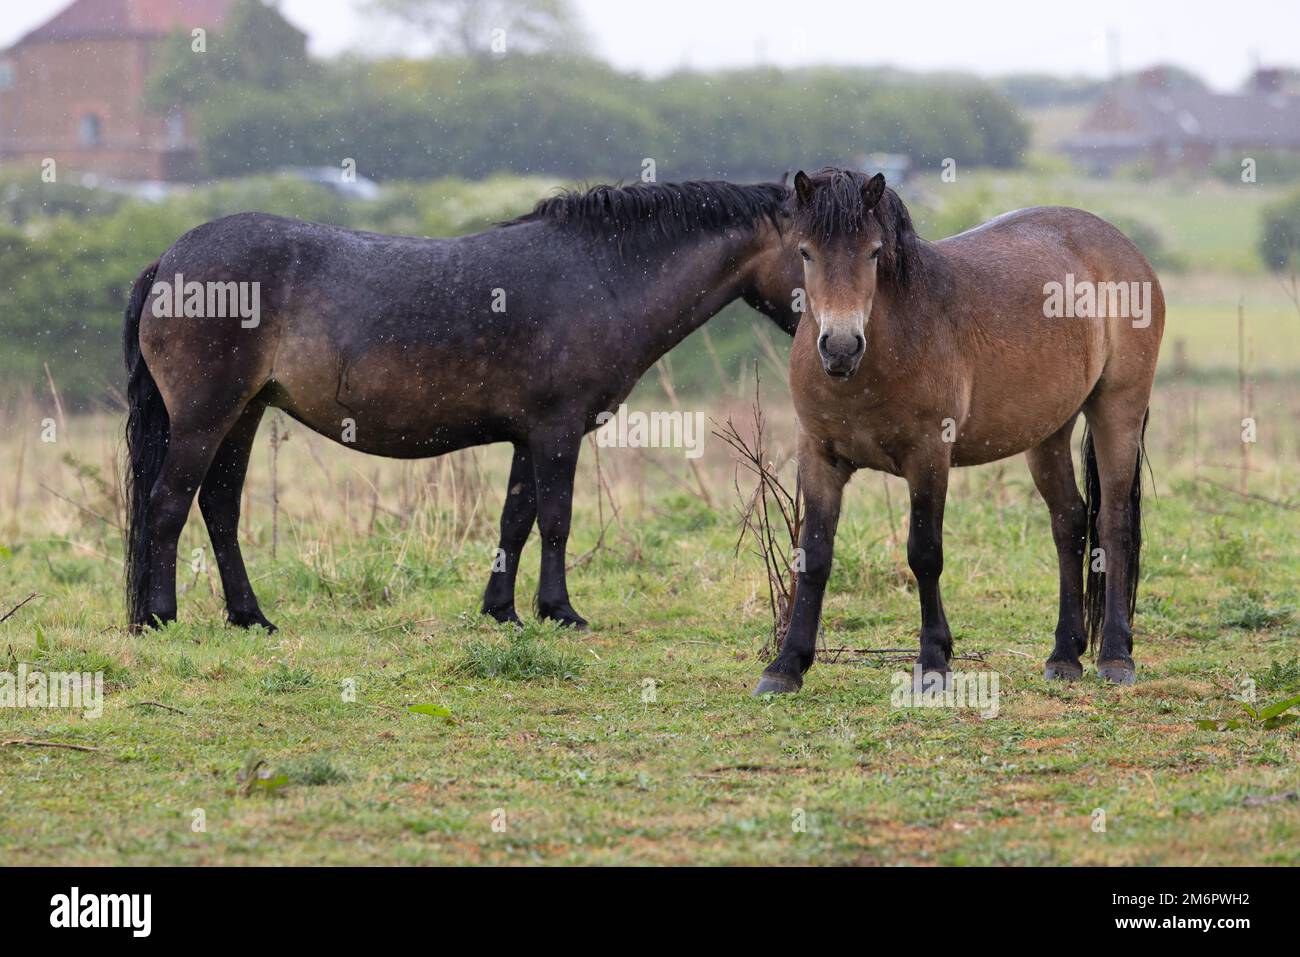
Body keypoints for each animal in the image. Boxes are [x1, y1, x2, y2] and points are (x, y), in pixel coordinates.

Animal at [123, 180, 803, 633]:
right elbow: (556, 520)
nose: (829, 344)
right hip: (204, 419)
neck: (601, 278)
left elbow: (515, 521)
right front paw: (560, 611)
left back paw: (250, 617)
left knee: (218, 510)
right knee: (167, 505)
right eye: (810, 252)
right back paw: (159, 618)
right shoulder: (557, 431)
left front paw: (502, 611)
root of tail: (169, 261)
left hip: (243, 415)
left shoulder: (529, 436)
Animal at [752, 168, 1164, 695]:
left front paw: (933, 662)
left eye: (874, 252)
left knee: (1112, 524)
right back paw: (1064, 656)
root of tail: (1125, 248)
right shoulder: (819, 457)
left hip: (1118, 411)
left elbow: (925, 553)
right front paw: (785, 666)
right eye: (806, 252)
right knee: (1070, 521)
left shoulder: (928, 456)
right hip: (1049, 432)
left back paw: (1115, 656)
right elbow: (814, 556)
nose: (841, 347)